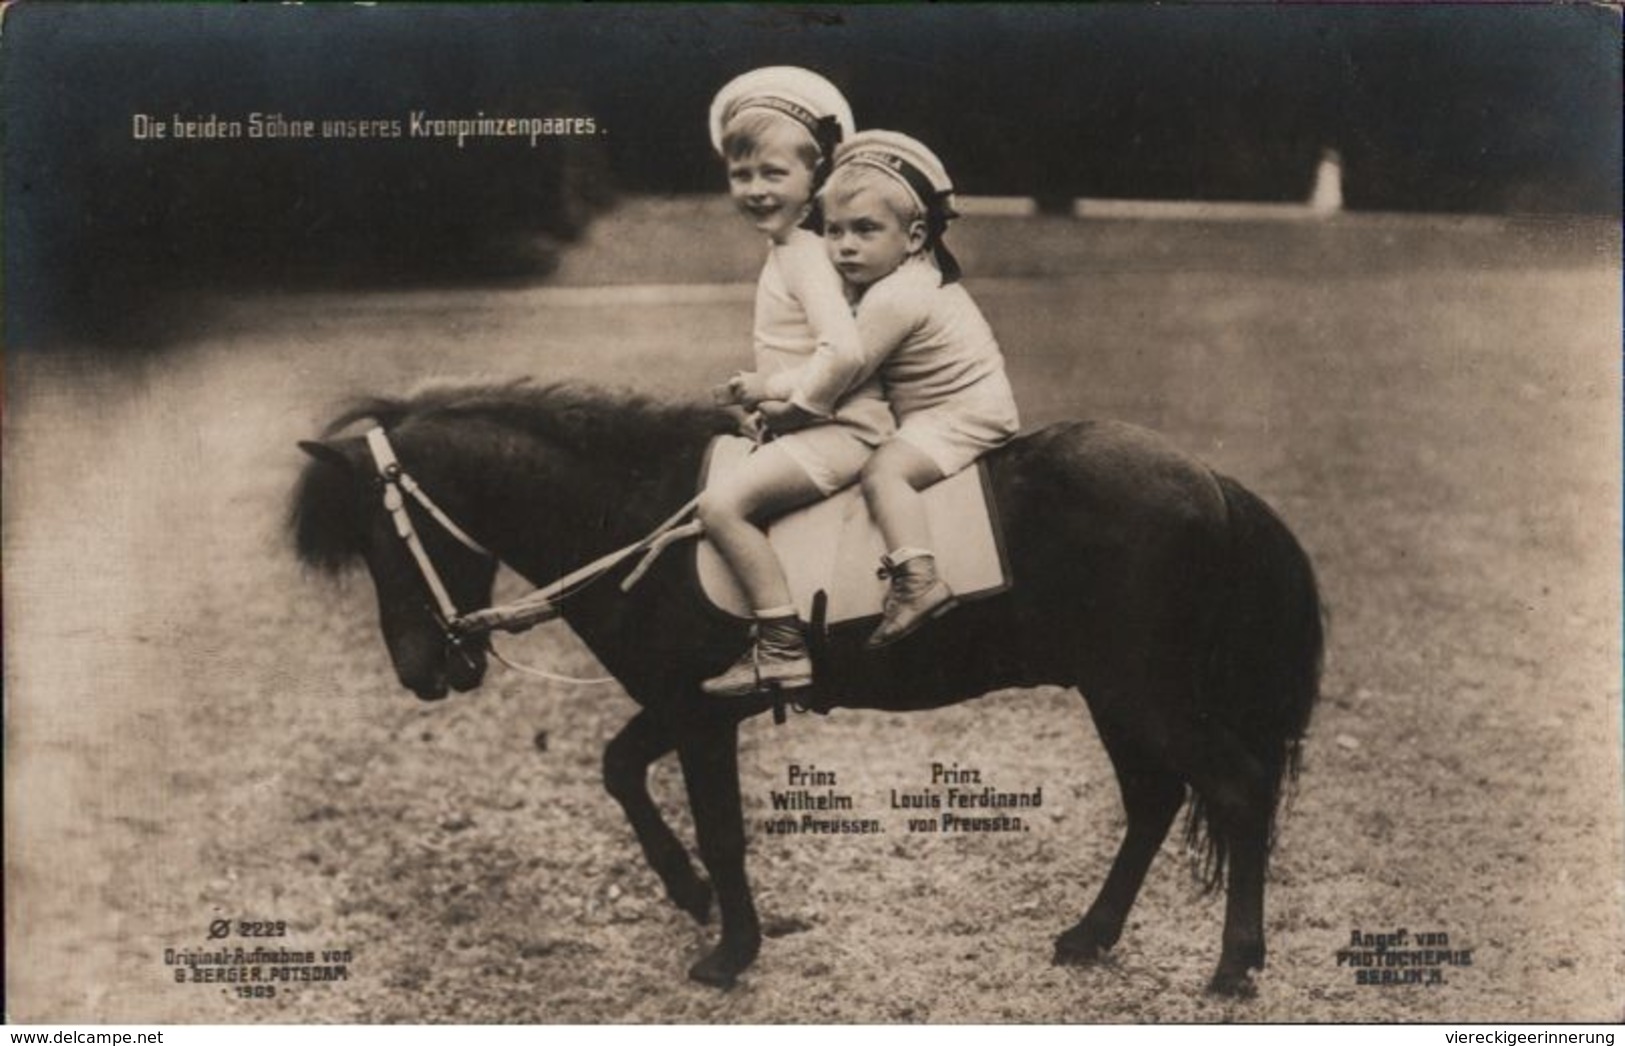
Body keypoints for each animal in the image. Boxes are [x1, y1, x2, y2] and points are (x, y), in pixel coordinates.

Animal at [292, 381, 1319, 994]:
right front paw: (688, 892)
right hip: (1116, 693)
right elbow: (619, 769)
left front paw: (728, 951)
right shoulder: (688, 701)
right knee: (1155, 801)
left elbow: (718, 825)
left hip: (1141, 691)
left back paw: (1234, 965)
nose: (422, 671)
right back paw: (1091, 934)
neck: (634, 511)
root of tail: (1209, 480)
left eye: (382, 542)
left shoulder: (698, 716)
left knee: (1233, 789)